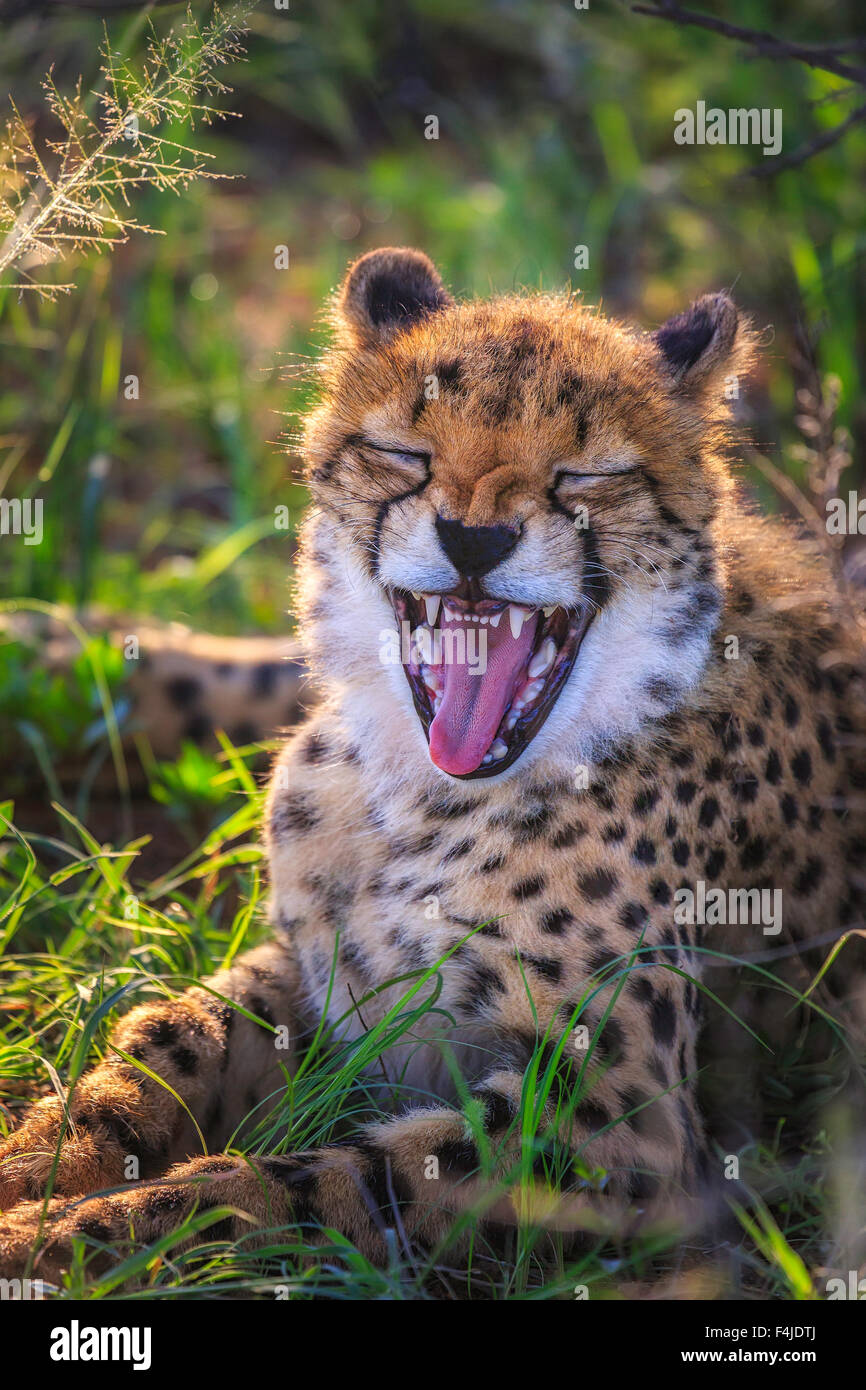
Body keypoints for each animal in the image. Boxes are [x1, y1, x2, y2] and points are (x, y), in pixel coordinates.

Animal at [1, 247, 866, 1278]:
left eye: (585, 474)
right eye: (407, 455)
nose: (474, 539)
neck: (411, 793)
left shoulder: (622, 1127)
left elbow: (304, 1187)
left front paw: (74, 1233)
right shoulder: (324, 969)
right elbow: (163, 1039)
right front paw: (40, 1163)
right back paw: (48, 648)